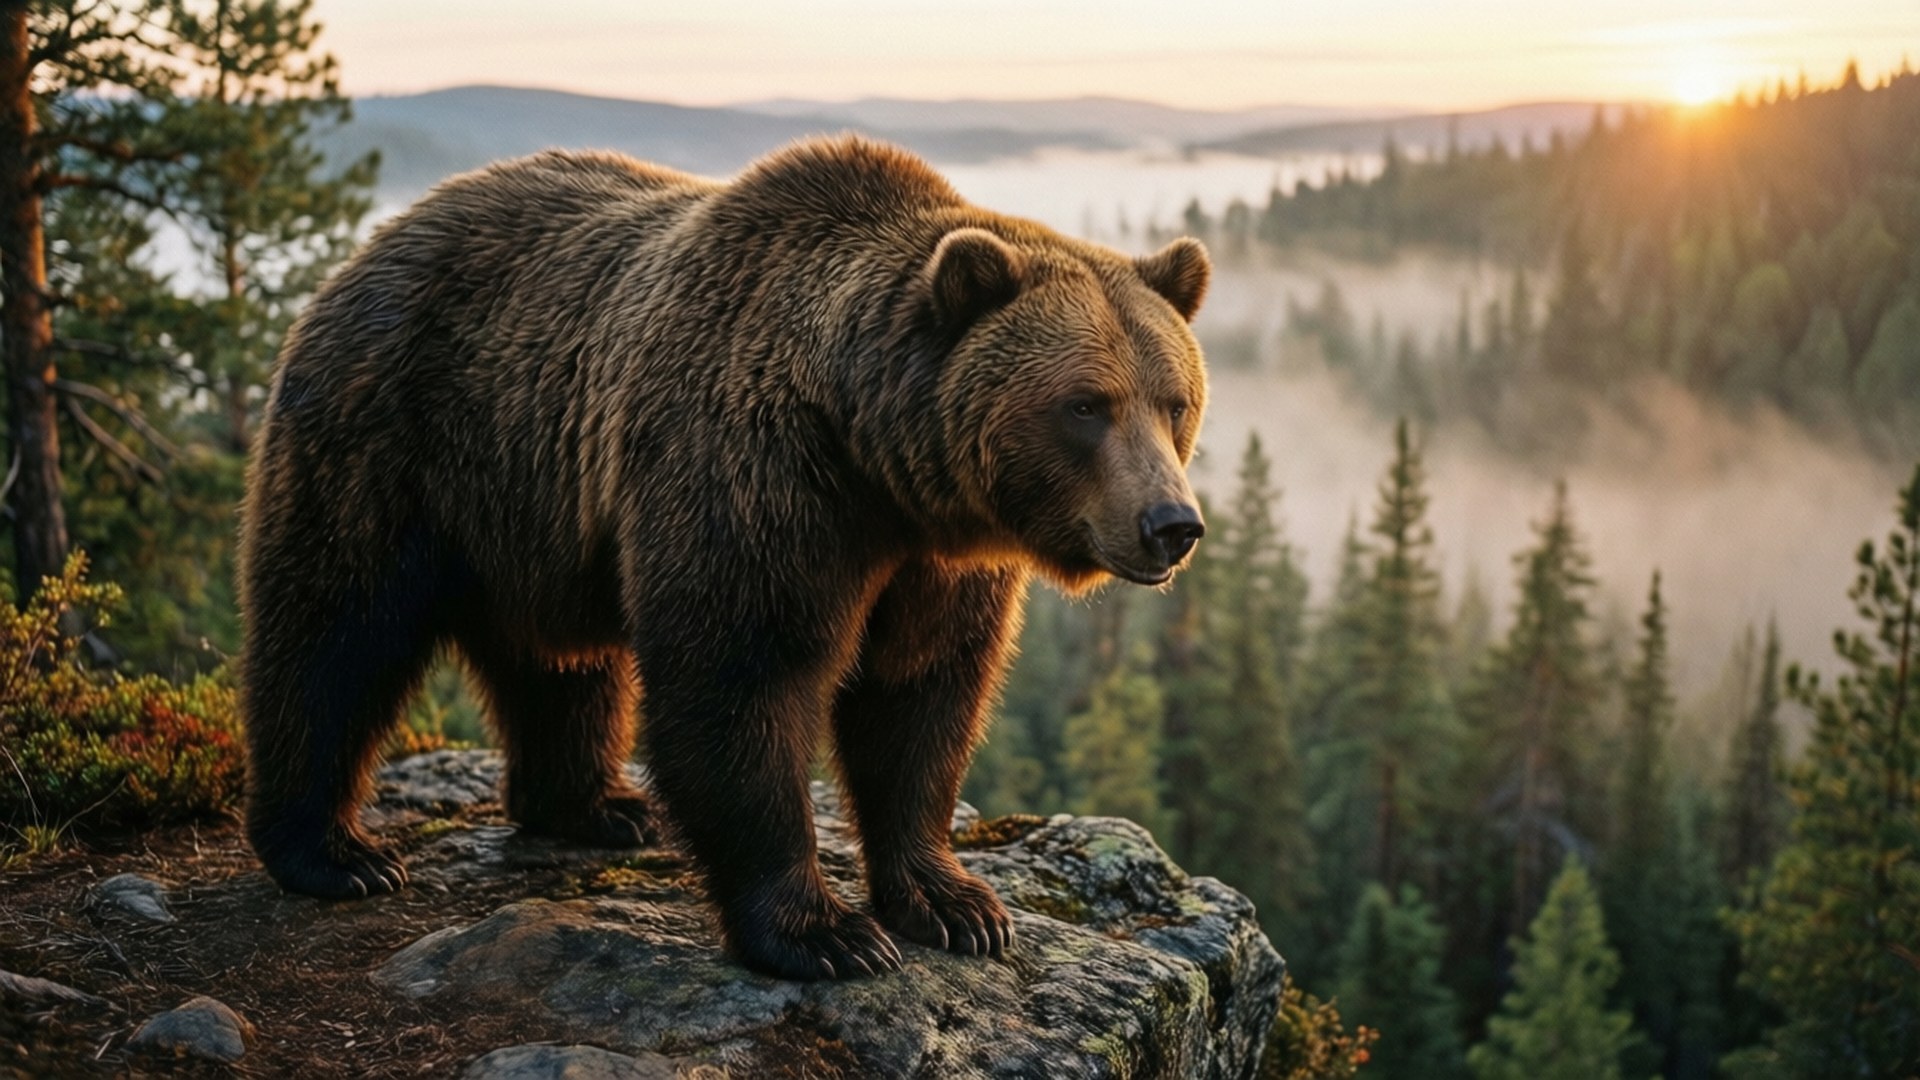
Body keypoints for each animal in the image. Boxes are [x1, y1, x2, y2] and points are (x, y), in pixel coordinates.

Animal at [239, 136, 1210, 981]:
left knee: (561, 665)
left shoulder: (934, 561)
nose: (1172, 524)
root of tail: (376, 241)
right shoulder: (755, 476)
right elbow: (744, 678)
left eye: (1174, 401)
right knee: (335, 629)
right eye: (1085, 404)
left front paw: (956, 905)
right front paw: (825, 934)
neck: (874, 460)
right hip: (392, 437)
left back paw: (597, 805)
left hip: (529, 509)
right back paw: (334, 852)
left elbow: (920, 695)